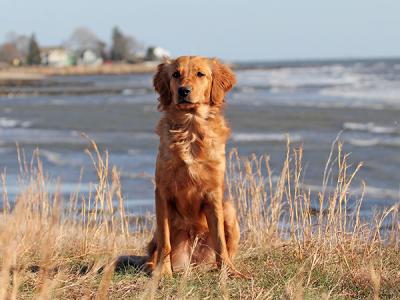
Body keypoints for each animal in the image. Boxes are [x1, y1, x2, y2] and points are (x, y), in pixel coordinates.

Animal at [145, 55, 242, 276]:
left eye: (200, 74)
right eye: (175, 74)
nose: (183, 91)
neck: (190, 128)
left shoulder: (214, 193)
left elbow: (220, 241)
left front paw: (229, 272)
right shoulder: (162, 191)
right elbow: (165, 241)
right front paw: (164, 272)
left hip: (229, 209)